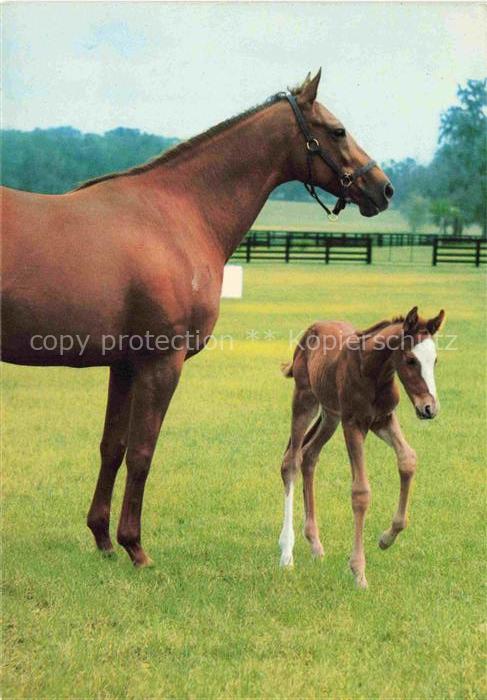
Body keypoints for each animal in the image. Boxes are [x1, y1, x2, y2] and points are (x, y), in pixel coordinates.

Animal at [2, 70, 393, 567]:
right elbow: (142, 453)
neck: (176, 216)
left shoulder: (124, 365)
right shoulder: (161, 363)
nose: (383, 188)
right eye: (338, 131)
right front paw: (135, 547)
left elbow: (113, 447)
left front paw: (104, 539)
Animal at [278, 306, 445, 588]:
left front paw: (386, 538)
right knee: (290, 462)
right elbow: (361, 492)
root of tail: (311, 330)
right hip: (305, 399)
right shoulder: (354, 424)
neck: (373, 372)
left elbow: (408, 460)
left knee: (309, 455)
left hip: (330, 415)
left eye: (434, 361)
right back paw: (286, 553)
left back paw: (315, 544)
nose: (429, 409)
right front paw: (358, 572)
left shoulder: (382, 419)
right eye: (410, 360)